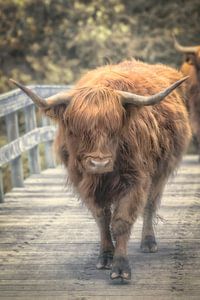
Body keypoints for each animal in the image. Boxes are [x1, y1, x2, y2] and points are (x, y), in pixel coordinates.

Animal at [10, 59, 191, 280]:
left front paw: (120, 267)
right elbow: (102, 219)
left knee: (150, 204)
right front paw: (105, 257)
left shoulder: (135, 180)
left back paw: (149, 242)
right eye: (78, 130)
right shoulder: (83, 183)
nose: (99, 163)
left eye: (114, 130)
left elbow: (121, 221)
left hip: (160, 172)